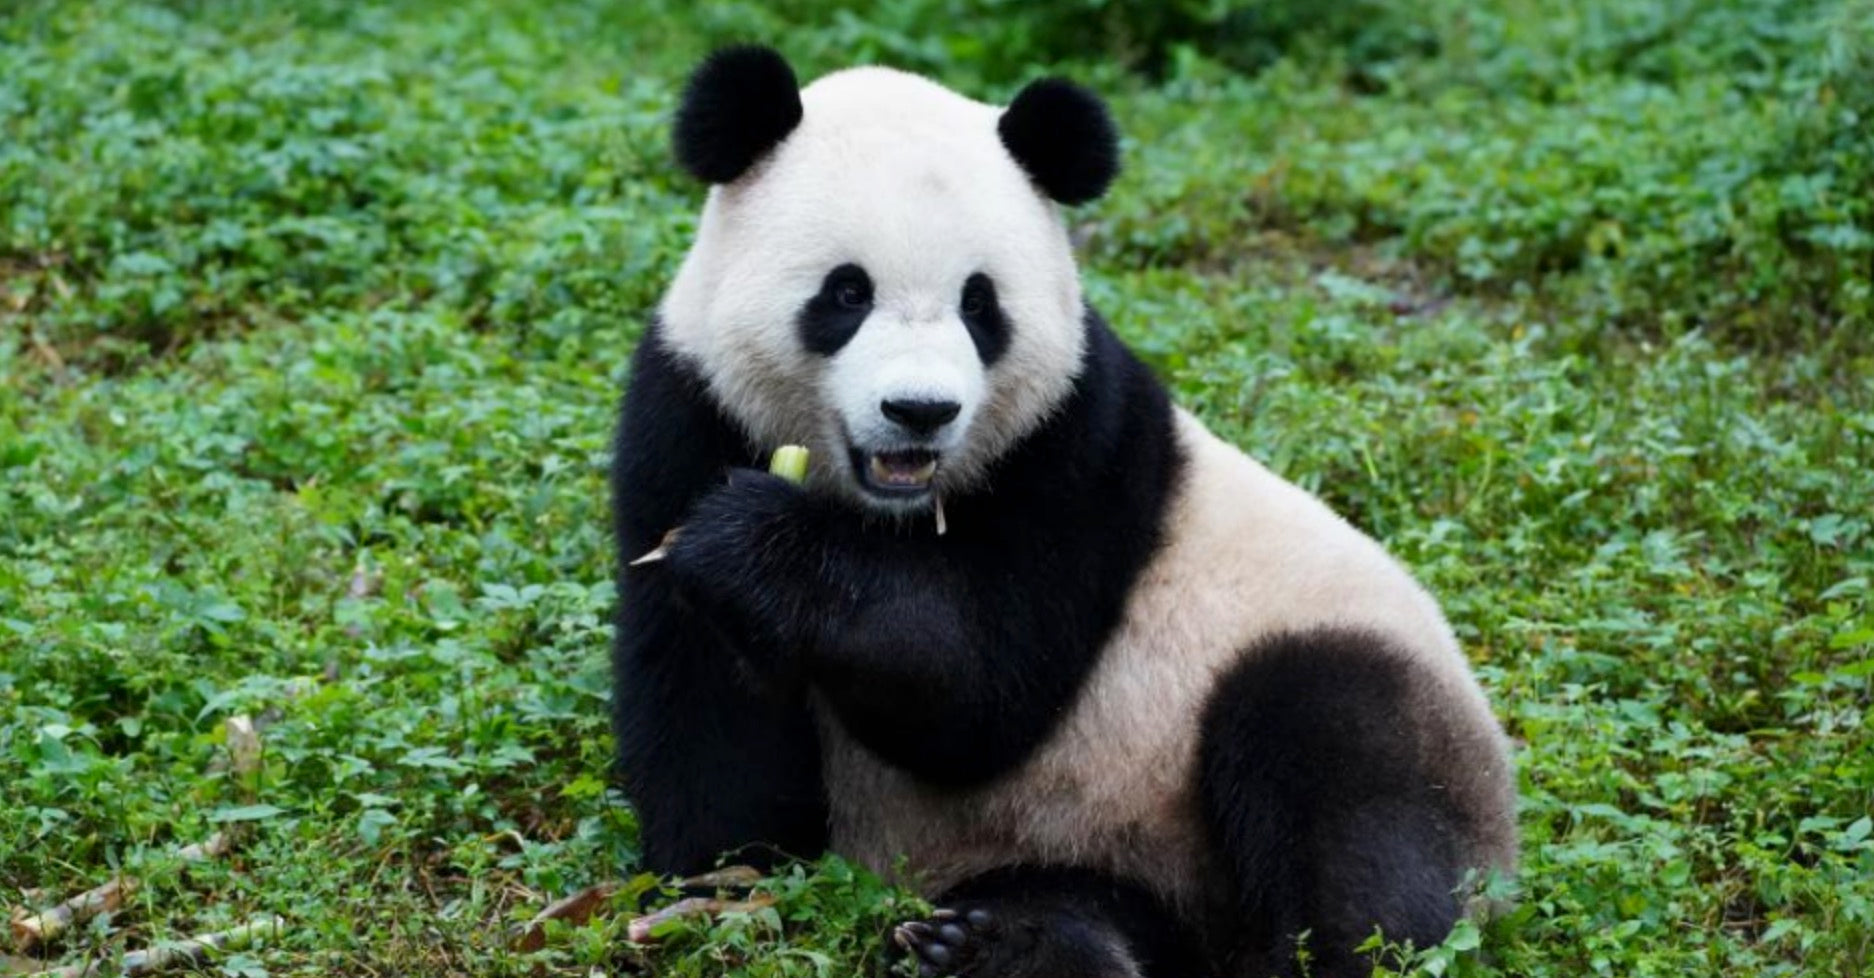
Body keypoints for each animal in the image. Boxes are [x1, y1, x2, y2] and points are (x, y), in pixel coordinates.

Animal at [610, 46, 1517, 978]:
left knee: (1343, 773)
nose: (921, 411)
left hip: (1352, 688)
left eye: (980, 303)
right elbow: (706, 698)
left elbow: (985, 688)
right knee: (1087, 900)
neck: (884, 510)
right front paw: (716, 883)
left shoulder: (1080, 440)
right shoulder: (685, 410)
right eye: (846, 293)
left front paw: (754, 542)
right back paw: (998, 943)